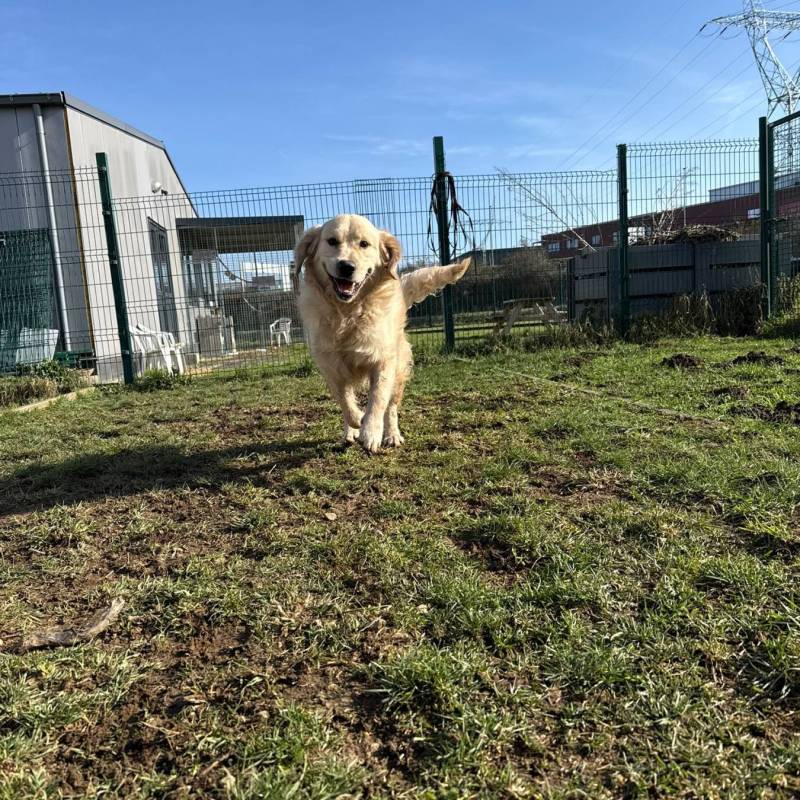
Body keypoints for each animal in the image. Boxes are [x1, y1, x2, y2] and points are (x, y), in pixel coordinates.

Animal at [293, 214, 471, 453]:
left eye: (364, 244)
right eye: (331, 241)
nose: (346, 266)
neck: (347, 313)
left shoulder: (383, 360)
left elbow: (377, 400)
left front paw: (371, 431)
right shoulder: (330, 366)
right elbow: (345, 402)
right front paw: (357, 421)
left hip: (398, 371)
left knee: (391, 408)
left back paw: (391, 435)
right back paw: (349, 433)